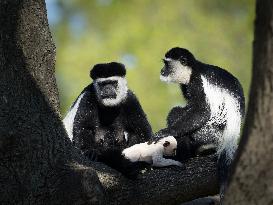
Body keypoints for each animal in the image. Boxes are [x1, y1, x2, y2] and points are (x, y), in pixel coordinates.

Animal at [157, 46, 244, 200]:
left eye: (167, 64)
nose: (162, 71)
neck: (192, 70)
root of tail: (232, 135)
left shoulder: (198, 82)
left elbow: (202, 111)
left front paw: (168, 131)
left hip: (210, 132)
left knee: (176, 113)